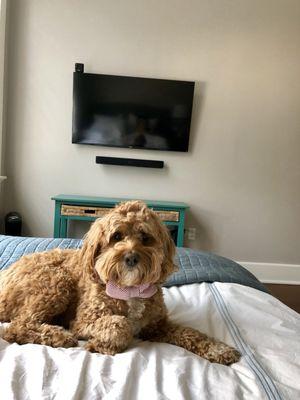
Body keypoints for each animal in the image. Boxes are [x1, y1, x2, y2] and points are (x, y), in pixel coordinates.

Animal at [0, 202, 239, 364]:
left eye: (145, 238)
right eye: (116, 236)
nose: (131, 257)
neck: (129, 289)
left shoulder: (157, 327)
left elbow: (190, 332)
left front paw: (218, 349)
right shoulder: (83, 322)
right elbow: (120, 324)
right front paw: (102, 344)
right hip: (56, 282)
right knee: (17, 327)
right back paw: (60, 336)